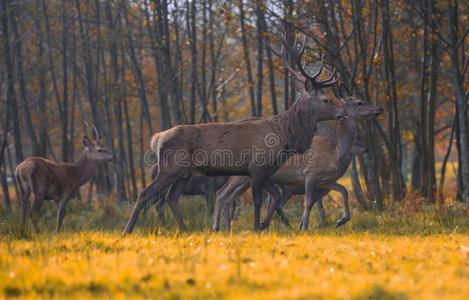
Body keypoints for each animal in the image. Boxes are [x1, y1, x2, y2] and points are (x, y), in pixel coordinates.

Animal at [122, 33, 346, 234]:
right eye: (326, 100)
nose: (342, 112)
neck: (285, 137)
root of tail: (156, 139)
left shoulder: (266, 171)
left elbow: (274, 197)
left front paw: (263, 225)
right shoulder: (257, 167)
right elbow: (258, 201)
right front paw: (256, 228)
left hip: (183, 173)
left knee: (171, 198)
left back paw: (184, 231)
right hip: (170, 168)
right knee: (145, 193)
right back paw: (127, 230)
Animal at [214, 83, 382, 231]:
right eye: (359, 102)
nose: (378, 108)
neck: (334, 152)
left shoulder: (325, 180)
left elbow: (344, 190)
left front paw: (341, 221)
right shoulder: (311, 173)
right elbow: (308, 202)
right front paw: (304, 228)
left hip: (246, 179)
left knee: (226, 196)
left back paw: (228, 228)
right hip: (241, 176)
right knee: (223, 194)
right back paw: (221, 228)